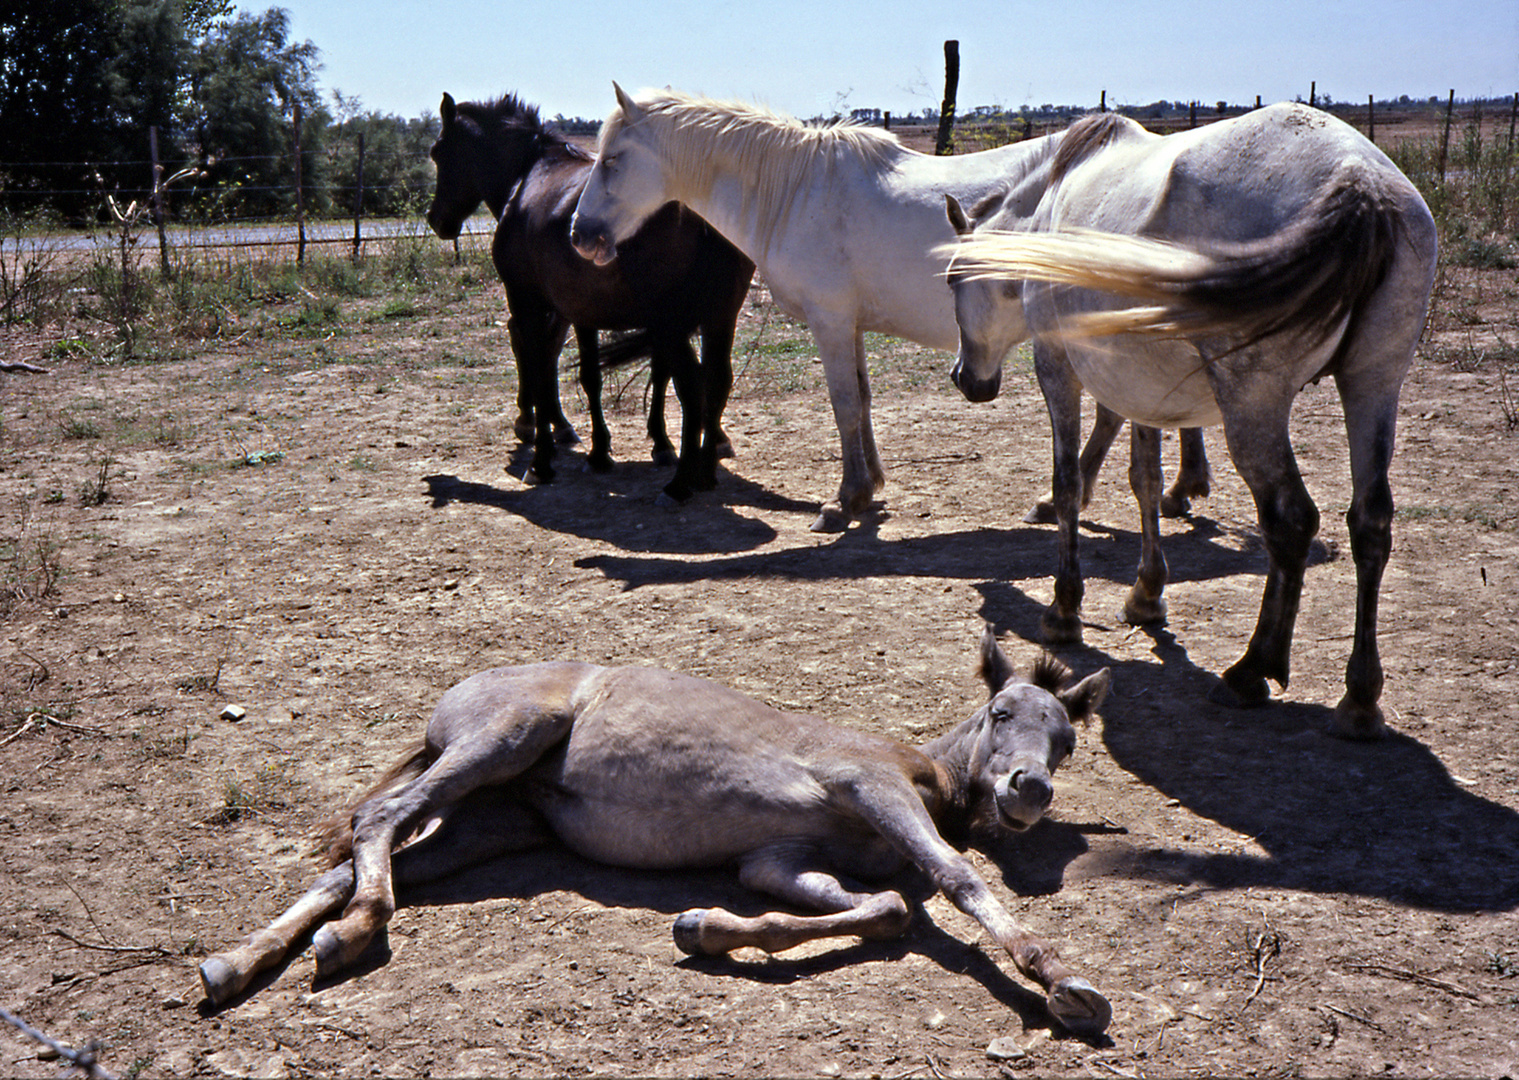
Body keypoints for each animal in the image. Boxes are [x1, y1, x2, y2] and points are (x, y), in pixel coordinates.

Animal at [195, 634, 1111, 1038]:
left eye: (1067, 739)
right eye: (1002, 713)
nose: (1030, 789)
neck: (927, 773)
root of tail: (457, 698)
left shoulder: (775, 861)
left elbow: (881, 906)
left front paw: (703, 928)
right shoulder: (871, 787)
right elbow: (952, 878)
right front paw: (1061, 980)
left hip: (492, 822)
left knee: (355, 863)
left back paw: (243, 960)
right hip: (502, 741)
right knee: (375, 824)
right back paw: (350, 933)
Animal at [425, 94, 756, 501]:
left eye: (438, 152)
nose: (436, 219)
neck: (529, 174)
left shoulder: (526, 299)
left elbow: (541, 365)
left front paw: (542, 459)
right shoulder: (581, 309)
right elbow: (589, 375)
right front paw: (600, 451)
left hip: (673, 321)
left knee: (692, 386)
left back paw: (680, 484)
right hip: (720, 315)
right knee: (717, 380)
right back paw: (705, 473)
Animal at [571, 84, 1209, 531]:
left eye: (611, 160)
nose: (581, 235)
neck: (795, 191)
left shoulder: (829, 321)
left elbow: (844, 403)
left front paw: (845, 499)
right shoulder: (849, 324)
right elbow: (862, 397)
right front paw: (871, 485)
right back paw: (1168, 490)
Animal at [935, 105, 1433, 738]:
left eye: (954, 280)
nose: (964, 378)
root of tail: (1361, 180)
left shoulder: (1058, 367)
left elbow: (1068, 483)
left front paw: (1064, 609)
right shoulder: (1141, 386)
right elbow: (1144, 482)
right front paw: (1146, 595)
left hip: (1255, 404)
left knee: (1291, 521)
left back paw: (1251, 670)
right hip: (1373, 385)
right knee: (1370, 523)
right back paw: (1359, 698)